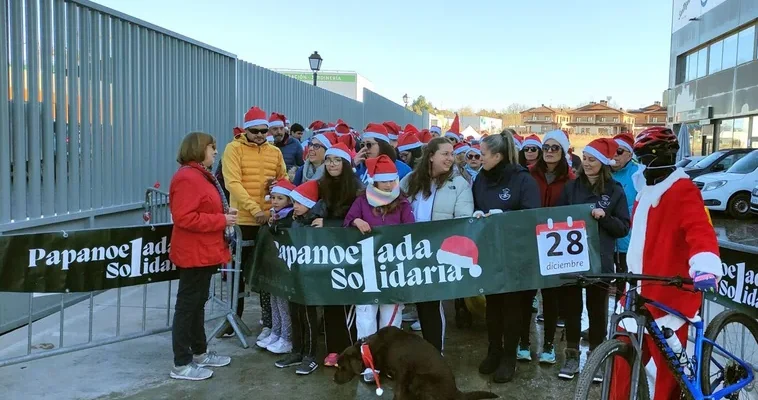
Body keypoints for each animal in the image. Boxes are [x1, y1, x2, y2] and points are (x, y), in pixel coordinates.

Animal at [334, 326, 498, 398]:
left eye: (342, 367)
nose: (334, 379)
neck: (369, 350)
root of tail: (456, 392)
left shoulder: (403, 372)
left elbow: (399, 392)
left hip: (419, 378)